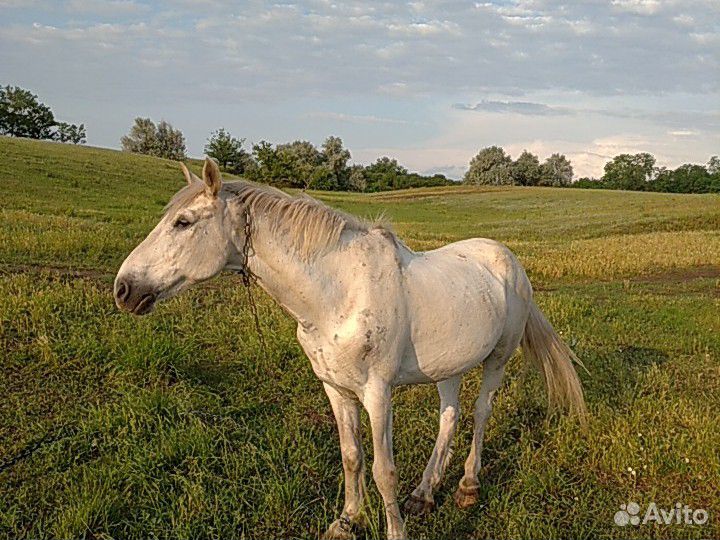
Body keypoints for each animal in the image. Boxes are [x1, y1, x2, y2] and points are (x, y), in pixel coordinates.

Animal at [112, 159, 584, 540]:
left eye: (183, 222)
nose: (124, 289)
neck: (338, 295)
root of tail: (508, 259)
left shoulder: (377, 394)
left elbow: (383, 471)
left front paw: (395, 531)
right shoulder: (336, 390)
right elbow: (352, 458)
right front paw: (346, 521)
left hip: (497, 359)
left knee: (482, 411)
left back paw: (467, 487)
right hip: (448, 367)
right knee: (449, 415)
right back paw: (425, 494)